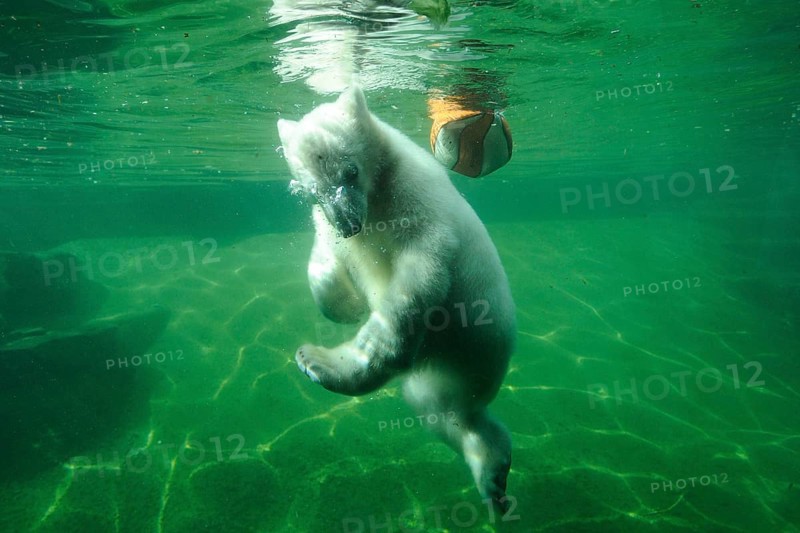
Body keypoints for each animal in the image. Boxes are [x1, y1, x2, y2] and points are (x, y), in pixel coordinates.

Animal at [277, 85, 516, 508]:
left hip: (476, 350)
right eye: (311, 192)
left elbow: (416, 285)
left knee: (448, 408)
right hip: (445, 371)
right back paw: (493, 475)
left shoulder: (418, 209)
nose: (349, 225)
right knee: (441, 413)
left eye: (350, 171)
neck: (379, 194)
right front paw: (345, 306)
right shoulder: (331, 222)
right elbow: (325, 253)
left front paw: (333, 355)